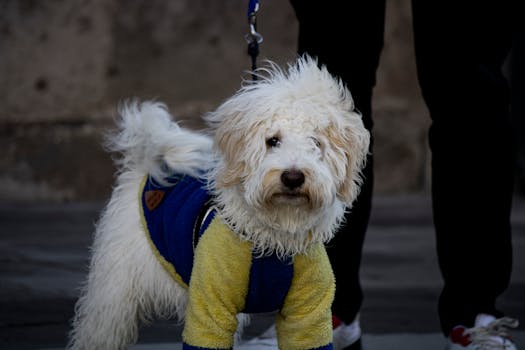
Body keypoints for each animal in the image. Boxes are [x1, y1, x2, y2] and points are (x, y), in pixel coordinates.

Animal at [68, 56, 368, 348]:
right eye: (273, 140)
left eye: (316, 143)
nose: (293, 177)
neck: (273, 240)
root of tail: (147, 168)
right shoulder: (210, 304)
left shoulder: (308, 314)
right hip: (114, 292)